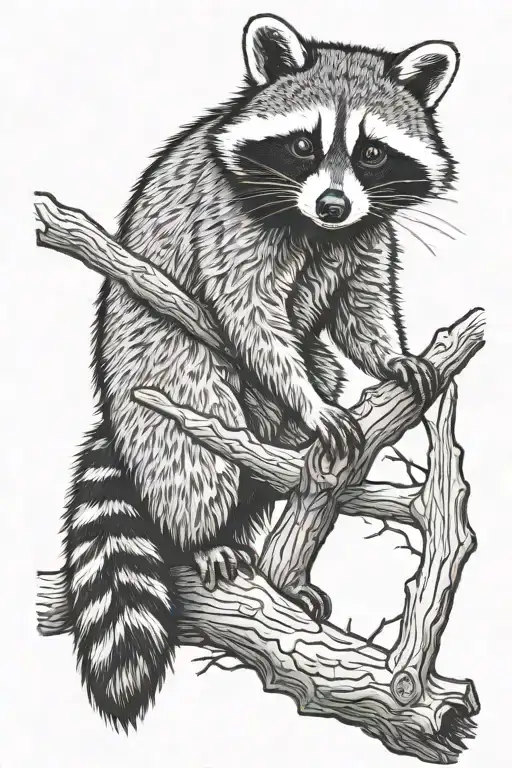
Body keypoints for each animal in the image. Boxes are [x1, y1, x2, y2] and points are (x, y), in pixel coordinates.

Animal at [62, 14, 459, 730]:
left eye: (372, 154)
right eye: (304, 145)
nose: (333, 204)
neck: (317, 226)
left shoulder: (365, 233)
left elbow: (361, 309)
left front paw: (390, 355)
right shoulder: (228, 221)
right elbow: (250, 315)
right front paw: (311, 403)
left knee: (310, 384)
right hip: (157, 366)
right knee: (194, 448)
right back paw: (204, 537)